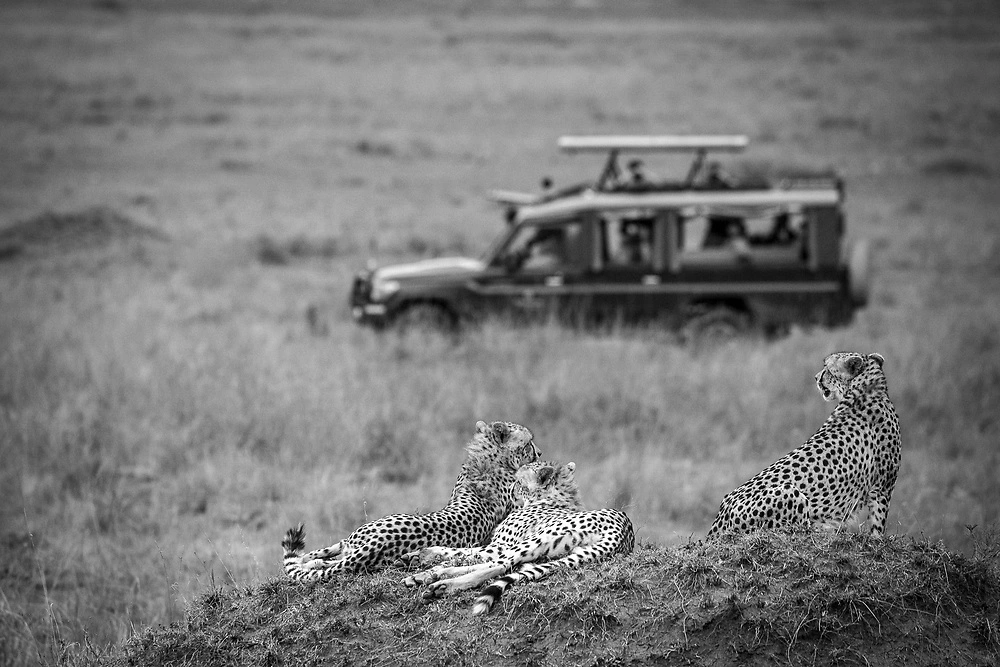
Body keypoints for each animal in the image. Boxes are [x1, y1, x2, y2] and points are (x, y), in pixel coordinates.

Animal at [278, 420, 544, 580]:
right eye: (529, 442)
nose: (540, 452)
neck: (488, 459)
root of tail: (375, 542)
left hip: (351, 544)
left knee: (319, 560)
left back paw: (307, 564)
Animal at [398, 462, 632, 620]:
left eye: (519, 481)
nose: (510, 489)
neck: (551, 500)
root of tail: (621, 531)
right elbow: (463, 553)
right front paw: (419, 557)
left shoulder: (499, 545)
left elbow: (462, 553)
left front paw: (425, 563)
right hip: (549, 554)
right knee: (508, 567)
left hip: (533, 541)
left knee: (497, 566)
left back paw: (439, 582)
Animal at [708, 352, 904, 540]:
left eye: (827, 369)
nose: (816, 377)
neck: (866, 387)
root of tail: (718, 522)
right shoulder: (882, 487)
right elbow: (878, 524)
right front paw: (878, 540)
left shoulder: (883, 486)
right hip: (790, 492)